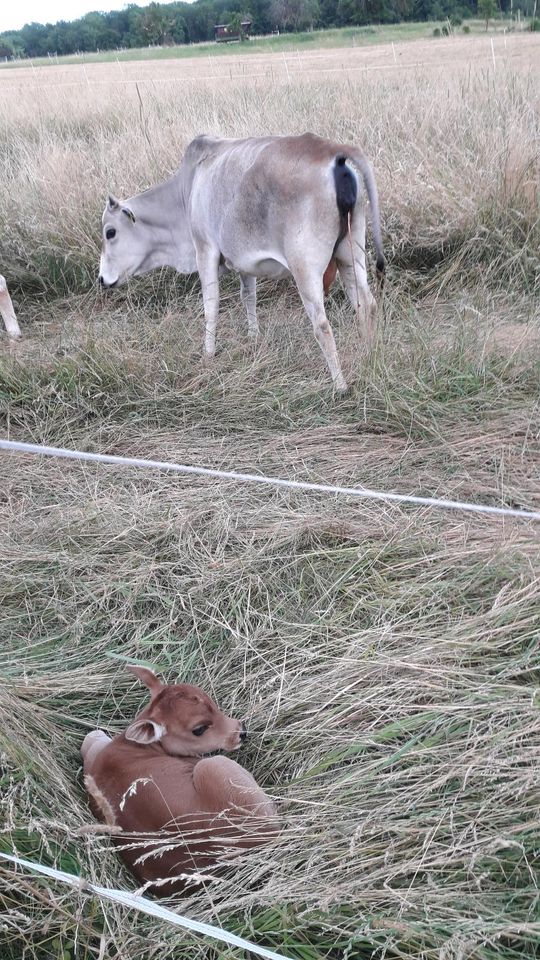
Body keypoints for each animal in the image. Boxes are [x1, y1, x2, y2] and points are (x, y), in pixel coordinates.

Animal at [98, 132, 384, 394]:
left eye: (110, 232)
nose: (102, 279)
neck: (187, 191)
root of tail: (333, 151)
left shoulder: (205, 250)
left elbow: (210, 306)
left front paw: (208, 354)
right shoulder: (246, 263)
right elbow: (249, 297)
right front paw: (253, 338)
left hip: (305, 267)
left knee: (322, 325)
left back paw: (340, 385)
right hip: (350, 255)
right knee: (366, 305)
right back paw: (368, 355)